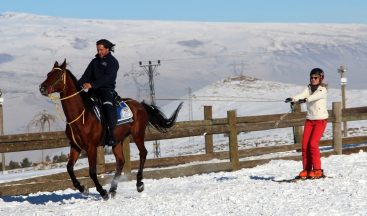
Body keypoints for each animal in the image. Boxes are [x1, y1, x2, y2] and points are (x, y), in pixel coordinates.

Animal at [39, 60, 183, 200]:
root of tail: (140, 105)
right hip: (117, 141)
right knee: (121, 161)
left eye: (57, 75)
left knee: (143, 153)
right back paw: (113, 189)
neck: (82, 116)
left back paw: (138, 184)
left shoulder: (91, 147)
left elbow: (92, 171)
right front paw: (83, 188)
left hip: (138, 134)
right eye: (48, 74)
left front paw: (102, 192)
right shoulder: (75, 146)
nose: (42, 88)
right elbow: (69, 168)